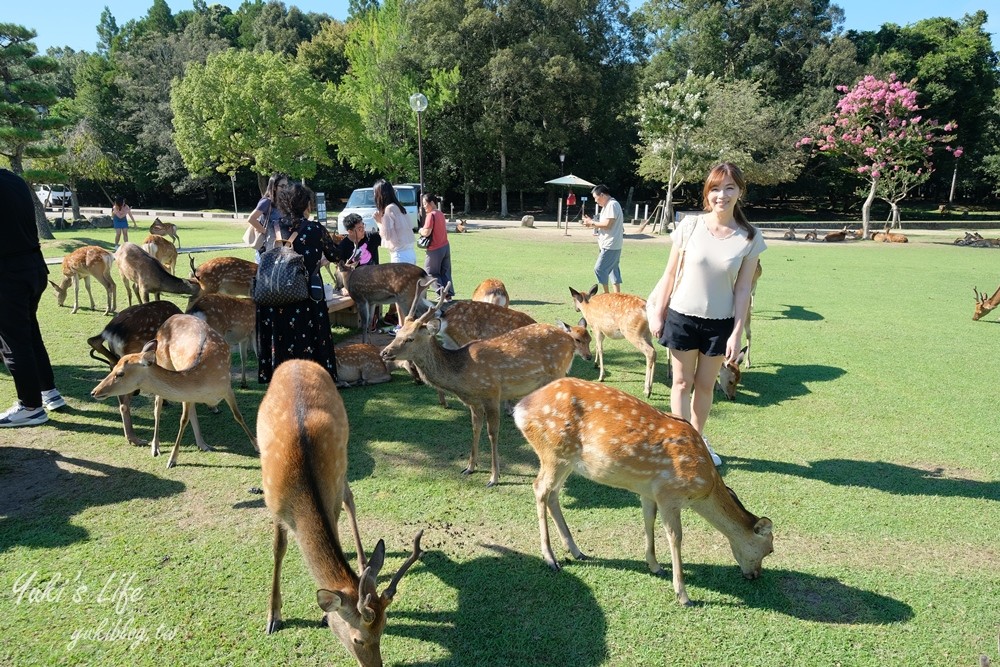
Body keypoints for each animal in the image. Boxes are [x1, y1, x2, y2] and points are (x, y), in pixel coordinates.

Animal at [89, 314, 258, 468]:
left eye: (120, 373)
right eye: (114, 369)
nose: (94, 392)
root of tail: (172, 317)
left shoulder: (227, 387)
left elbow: (238, 415)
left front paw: (256, 445)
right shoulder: (188, 394)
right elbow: (183, 420)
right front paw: (172, 459)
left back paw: (203, 444)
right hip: (164, 360)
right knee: (157, 407)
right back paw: (155, 447)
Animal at [258, 360, 422, 667]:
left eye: (384, 630)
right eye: (358, 639)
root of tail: (297, 360)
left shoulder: (330, 497)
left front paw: (323, 616)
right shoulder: (272, 502)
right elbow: (278, 549)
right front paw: (273, 616)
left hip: (342, 456)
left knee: (349, 497)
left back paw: (362, 560)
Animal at [378, 290, 588, 488]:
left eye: (410, 338)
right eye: (397, 333)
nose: (384, 352)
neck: (460, 375)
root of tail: (570, 340)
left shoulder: (492, 393)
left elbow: (492, 433)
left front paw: (494, 477)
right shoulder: (473, 401)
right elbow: (475, 428)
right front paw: (470, 467)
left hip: (558, 371)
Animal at [512, 378, 776, 608]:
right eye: (770, 549)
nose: (755, 575)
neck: (705, 486)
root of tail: (519, 409)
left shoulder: (649, 492)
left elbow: (648, 520)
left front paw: (654, 565)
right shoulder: (670, 494)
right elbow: (675, 537)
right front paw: (683, 595)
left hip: (566, 461)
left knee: (553, 494)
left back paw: (576, 551)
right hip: (553, 452)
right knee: (539, 489)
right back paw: (550, 558)